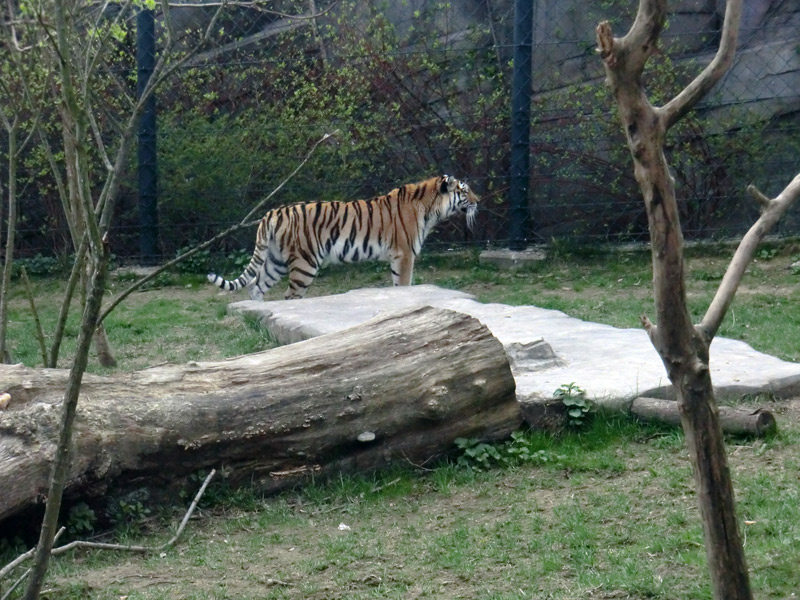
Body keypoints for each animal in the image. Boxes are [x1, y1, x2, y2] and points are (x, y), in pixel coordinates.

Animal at [209, 176, 478, 302]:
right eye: (464, 191)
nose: (479, 200)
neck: (430, 207)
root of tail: (272, 212)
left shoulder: (399, 257)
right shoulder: (404, 255)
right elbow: (404, 285)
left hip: (276, 260)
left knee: (256, 285)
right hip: (305, 262)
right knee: (290, 295)